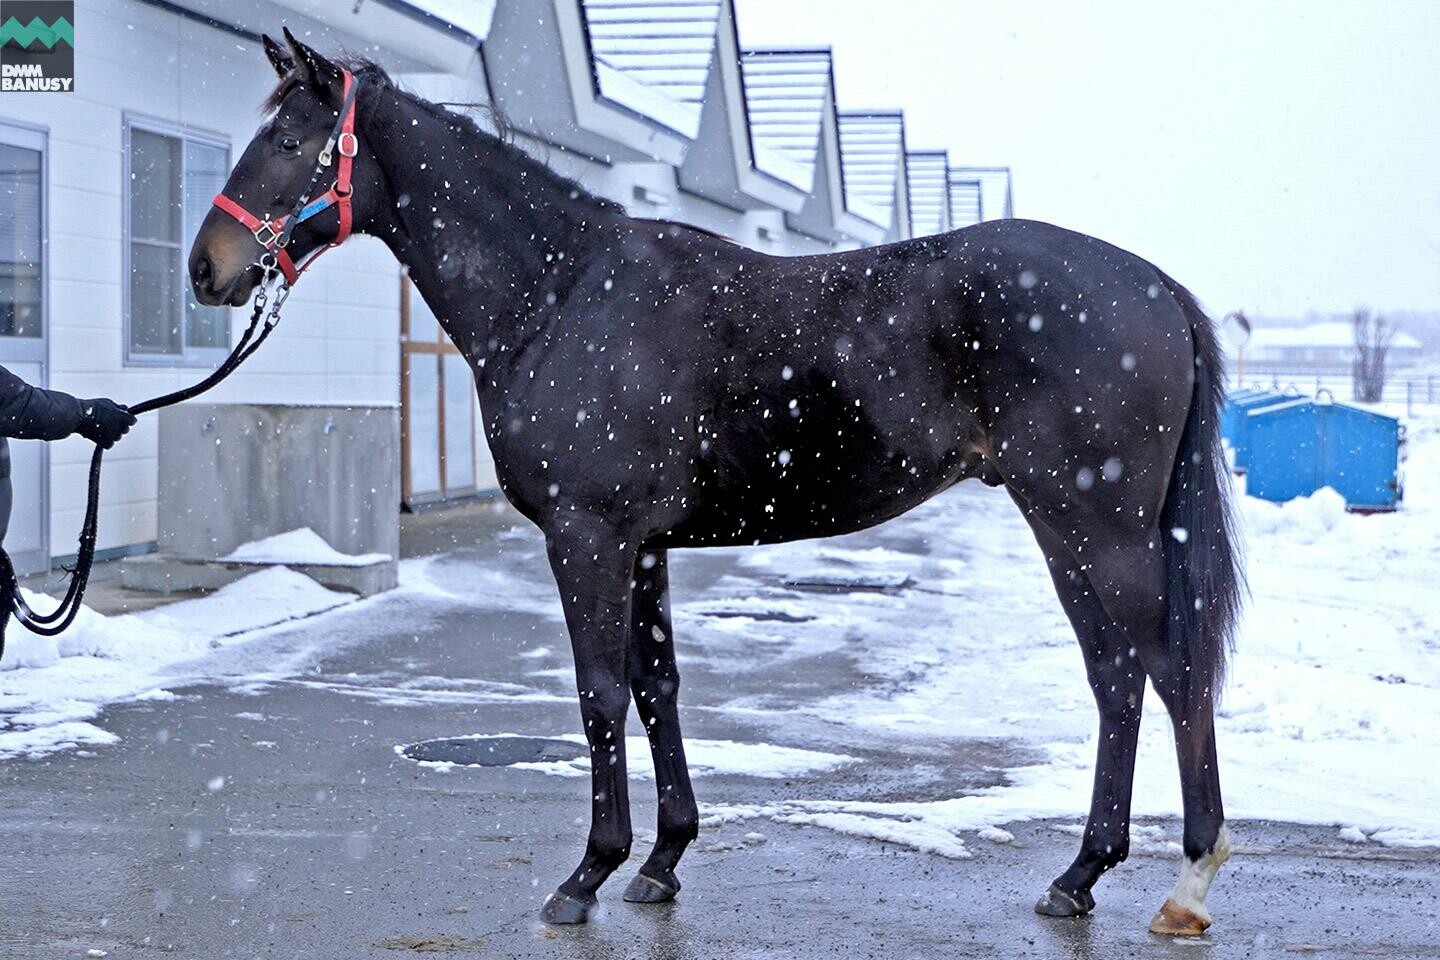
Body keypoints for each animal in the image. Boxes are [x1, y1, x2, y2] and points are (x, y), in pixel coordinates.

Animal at [188, 31, 1249, 938]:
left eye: (287, 140)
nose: (208, 268)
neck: (562, 294)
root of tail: (1155, 286)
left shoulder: (589, 537)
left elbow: (600, 694)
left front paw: (587, 875)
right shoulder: (643, 547)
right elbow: (658, 686)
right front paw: (661, 862)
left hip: (1100, 525)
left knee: (1171, 672)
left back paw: (1189, 882)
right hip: (1064, 525)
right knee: (1115, 678)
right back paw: (1079, 876)